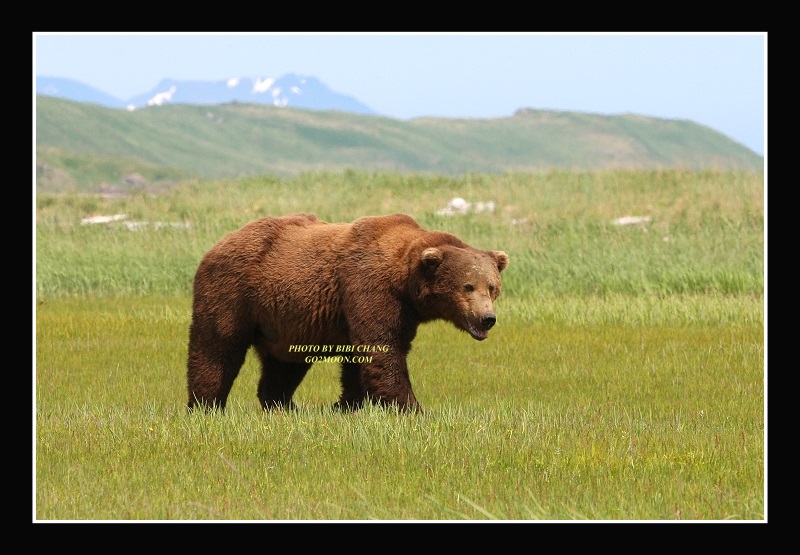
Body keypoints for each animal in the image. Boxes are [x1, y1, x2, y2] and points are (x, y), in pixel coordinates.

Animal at [188, 213, 510, 412]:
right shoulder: (369, 287)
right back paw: (205, 405)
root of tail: (216, 244)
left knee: (284, 364)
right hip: (233, 291)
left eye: (492, 287)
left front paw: (347, 405)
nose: (487, 319)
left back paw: (284, 405)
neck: (403, 279)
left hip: (283, 320)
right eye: (468, 286)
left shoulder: (395, 310)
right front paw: (412, 408)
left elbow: (360, 360)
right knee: (216, 348)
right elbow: (382, 349)